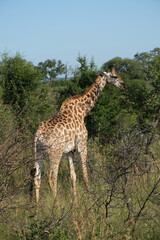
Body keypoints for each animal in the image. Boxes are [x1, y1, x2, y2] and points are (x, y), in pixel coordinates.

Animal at [32, 66, 124, 202]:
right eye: (114, 76)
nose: (123, 84)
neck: (83, 111)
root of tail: (38, 135)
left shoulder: (70, 150)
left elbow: (73, 176)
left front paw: (74, 202)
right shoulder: (82, 145)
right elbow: (85, 175)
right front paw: (91, 199)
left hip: (37, 152)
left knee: (37, 178)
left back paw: (37, 206)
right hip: (55, 153)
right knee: (52, 178)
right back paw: (56, 204)